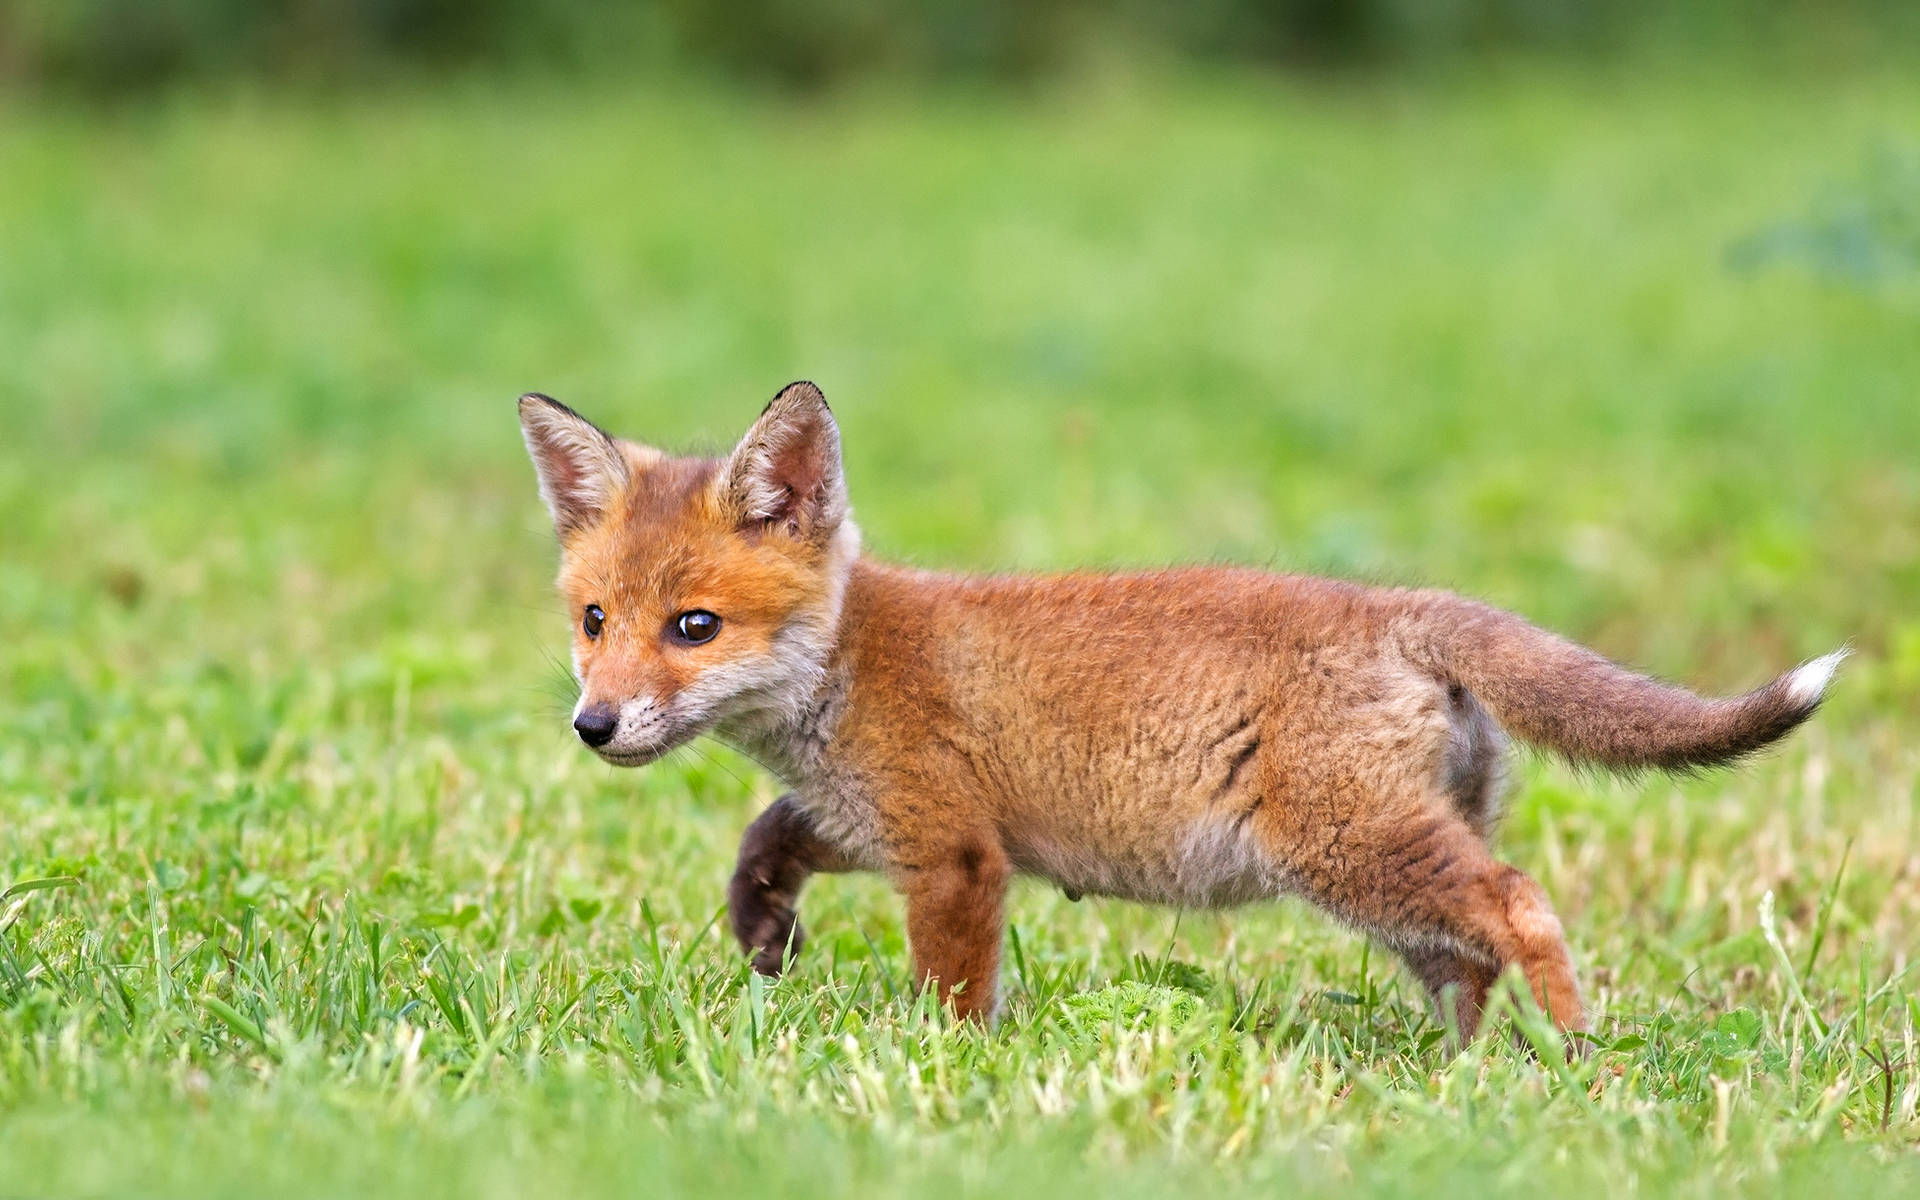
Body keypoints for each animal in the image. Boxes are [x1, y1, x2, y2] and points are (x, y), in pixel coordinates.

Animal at [518, 378, 1835, 1036]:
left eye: (694, 628)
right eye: (595, 622)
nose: (594, 726)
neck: (849, 660)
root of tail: (1403, 604)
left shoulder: (953, 853)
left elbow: (953, 996)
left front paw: (945, 1077)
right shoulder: (873, 819)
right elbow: (768, 839)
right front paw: (763, 932)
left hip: (1353, 850)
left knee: (1519, 907)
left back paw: (1572, 1062)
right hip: (1385, 876)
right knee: (1470, 962)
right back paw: (1458, 1083)